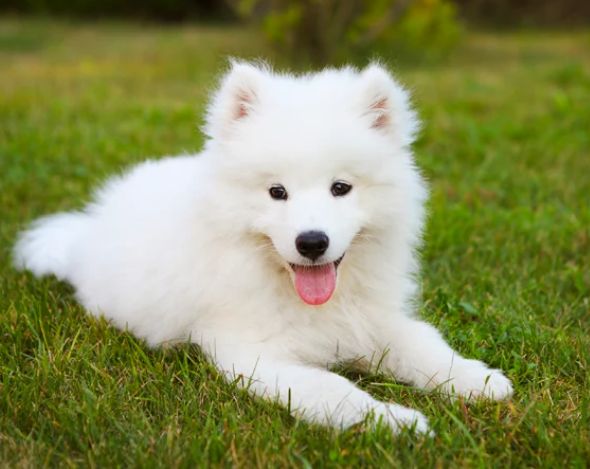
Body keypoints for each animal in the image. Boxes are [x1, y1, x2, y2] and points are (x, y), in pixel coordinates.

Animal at [13, 60, 512, 434]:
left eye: (341, 188)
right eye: (277, 192)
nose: (312, 242)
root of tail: (87, 230)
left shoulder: (372, 321)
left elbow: (425, 346)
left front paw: (478, 380)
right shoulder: (253, 354)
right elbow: (333, 391)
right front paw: (396, 422)